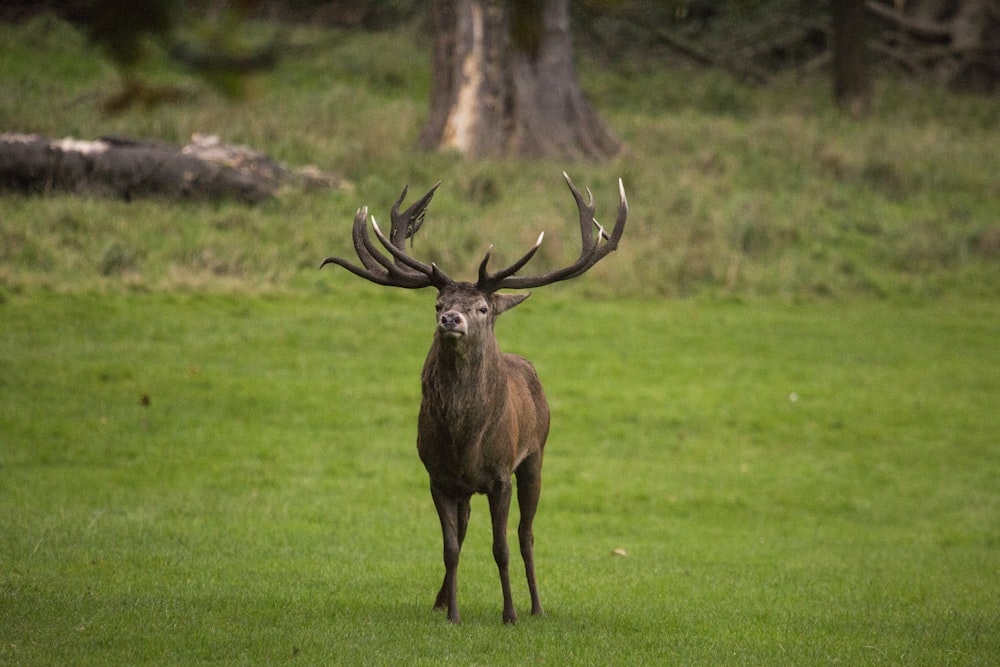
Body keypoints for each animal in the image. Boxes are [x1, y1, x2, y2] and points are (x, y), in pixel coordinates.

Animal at [320, 172, 624, 628]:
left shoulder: (500, 475)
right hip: (465, 488)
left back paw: (537, 606)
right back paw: (441, 600)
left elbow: (501, 547)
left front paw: (510, 613)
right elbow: (450, 547)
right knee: (463, 533)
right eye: (438, 303)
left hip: (536, 456)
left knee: (527, 534)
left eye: (482, 307)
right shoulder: (437, 476)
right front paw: (452, 614)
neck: (464, 439)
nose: (451, 319)